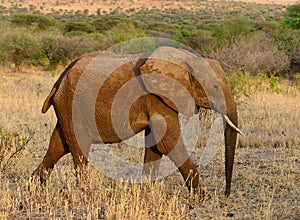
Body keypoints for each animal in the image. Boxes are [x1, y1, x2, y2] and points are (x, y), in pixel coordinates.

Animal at [32, 46, 241, 196]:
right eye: (215, 87)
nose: (226, 194)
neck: (185, 59)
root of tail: (59, 80)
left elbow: (156, 145)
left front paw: (147, 193)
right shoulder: (156, 97)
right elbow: (168, 142)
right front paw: (200, 197)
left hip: (66, 107)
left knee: (59, 145)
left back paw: (33, 187)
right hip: (73, 104)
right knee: (79, 148)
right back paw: (85, 193)